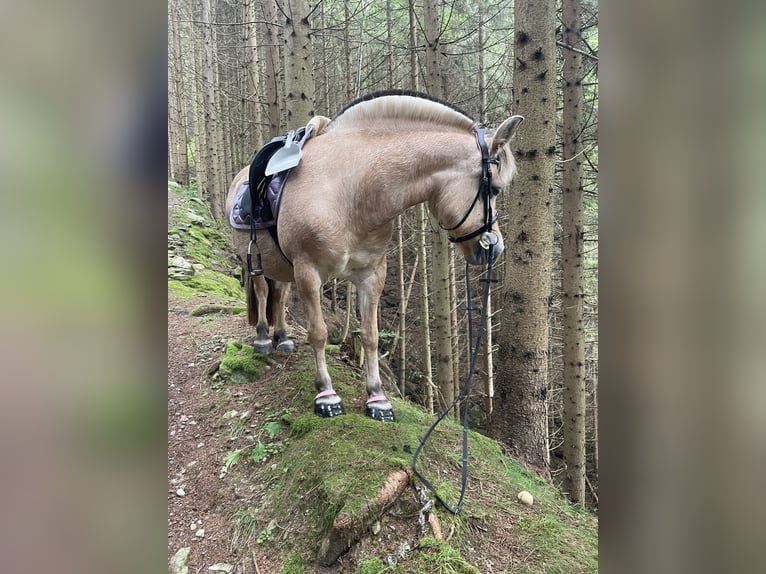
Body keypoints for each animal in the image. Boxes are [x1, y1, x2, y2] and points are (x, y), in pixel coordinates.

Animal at [226, 90, 522, 422]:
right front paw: (326, 394)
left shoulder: (371, 275)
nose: (496, 248)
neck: (351, 191)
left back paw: (284, 337)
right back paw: (264, 338)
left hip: (281, 267)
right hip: (253, 262)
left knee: (279, 294)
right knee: (264, 292)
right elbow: (319, 332)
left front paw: (377, 398)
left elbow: (370, 335)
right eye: (494, 189)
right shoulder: (308, 272)